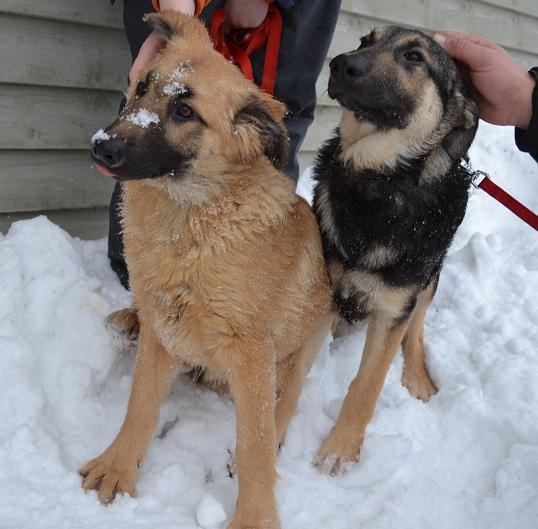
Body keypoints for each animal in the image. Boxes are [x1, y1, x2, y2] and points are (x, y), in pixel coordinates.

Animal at [81, 13, 332, 529]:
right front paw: (118, 465)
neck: (191, 219)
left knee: (288, 397)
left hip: (311, 336)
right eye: (142, 86)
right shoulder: (163, 329)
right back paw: (128, 318)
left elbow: (256, 446)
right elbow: (140, 404)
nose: (101, 147)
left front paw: (255, 517)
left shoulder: (253, 353)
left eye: (184, 112)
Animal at [312, 26, 479, 475]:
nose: (340, 64)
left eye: (415, 57)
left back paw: (418, 377)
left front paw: (339, 450)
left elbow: (366, 386)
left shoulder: (394, 306)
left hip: (429, 278)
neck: (376, 182)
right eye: (366, 40)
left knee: (417, 327)